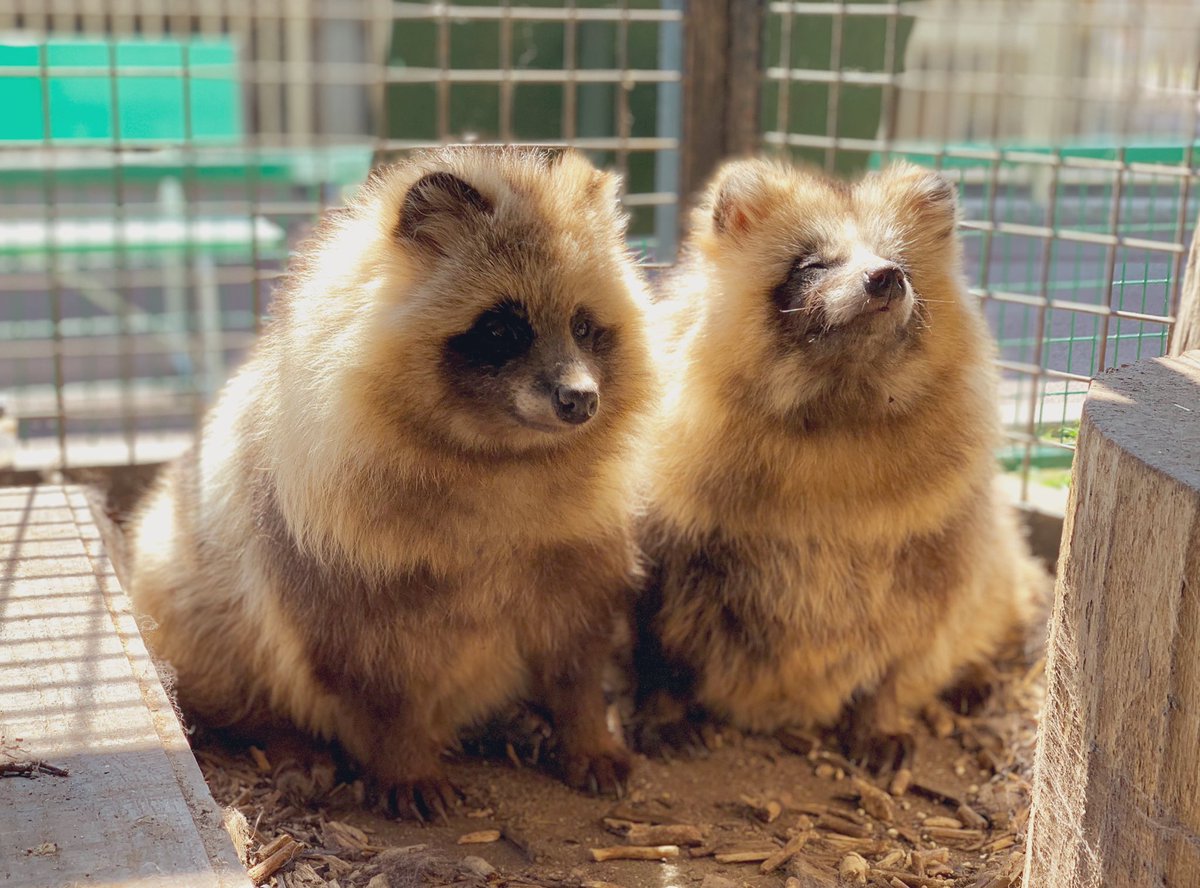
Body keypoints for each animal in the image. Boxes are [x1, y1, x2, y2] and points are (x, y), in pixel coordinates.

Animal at [124, 147, 657, 820]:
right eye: (503, 328)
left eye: (584, 327)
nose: (580, 399)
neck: (502, 460)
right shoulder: (339, 579)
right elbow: (382, 689)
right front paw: (404, 761)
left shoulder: (579, 556)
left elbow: (577, 664)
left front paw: (585, 734)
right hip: (191, 594)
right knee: (241, 681)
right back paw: (291, 742)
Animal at [638, 156, 1041, 768]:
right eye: (813, 264)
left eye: (900, 262)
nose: (886, 278)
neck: (837, 410)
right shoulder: (671, 545)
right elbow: (658, 636)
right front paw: (663, 707)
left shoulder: (942, 546)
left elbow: (911, 645)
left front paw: (880, 714)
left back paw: (973, 667)